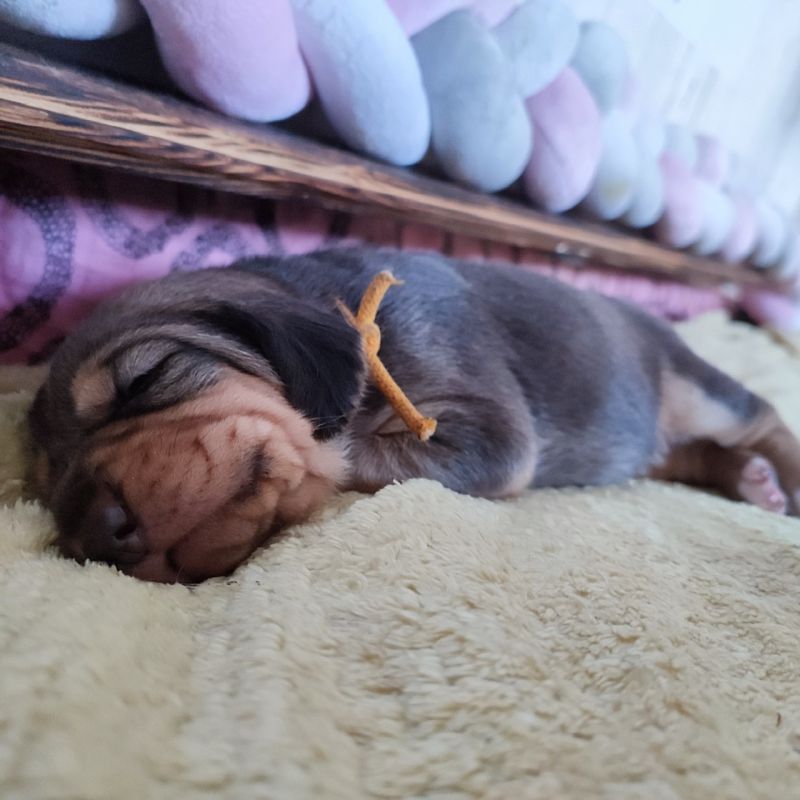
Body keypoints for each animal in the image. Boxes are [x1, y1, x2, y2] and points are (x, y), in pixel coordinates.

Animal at [28, 247, 800, 583]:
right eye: (46, 482)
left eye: (145, 379)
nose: (93, 536)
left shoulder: (491, 427)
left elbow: (351, 454)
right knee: (683, 453)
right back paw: (750, 481)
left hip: (698, 389)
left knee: (762, 417)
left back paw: (780, 479)